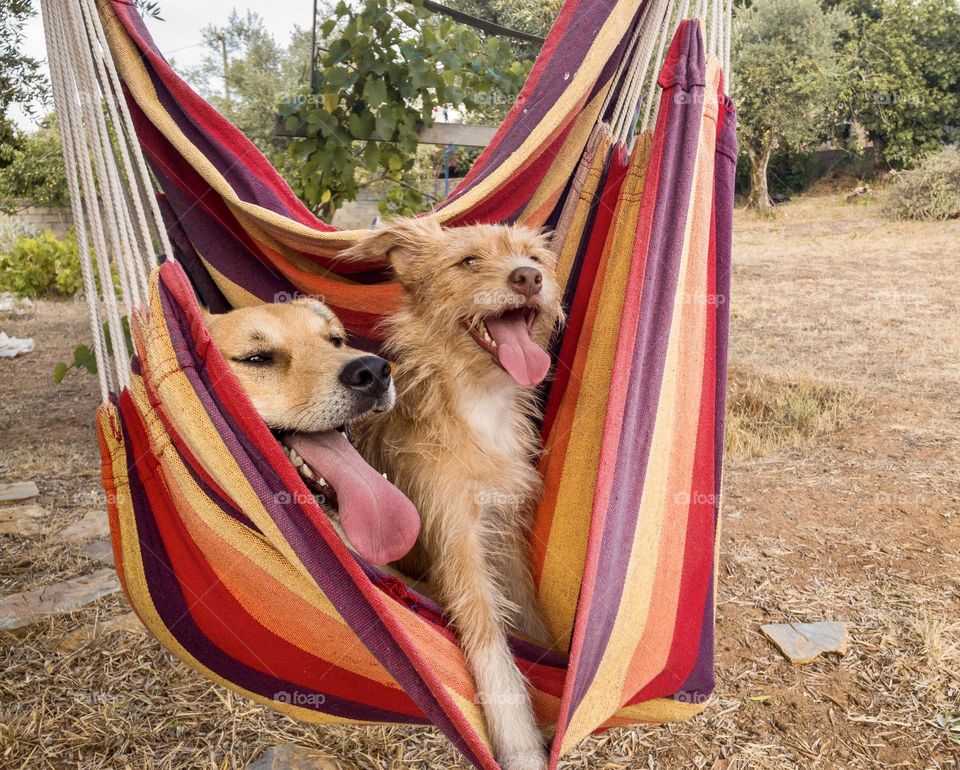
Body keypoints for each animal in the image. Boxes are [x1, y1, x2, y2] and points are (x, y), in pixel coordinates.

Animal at [344, 214, 564, 768]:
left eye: (534, 257)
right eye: (467, 261)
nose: (528, 277)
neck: (478, 402)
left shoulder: (504, 530)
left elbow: (528, 615)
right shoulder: (456, 540)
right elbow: (489, 644)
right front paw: (521, 745)